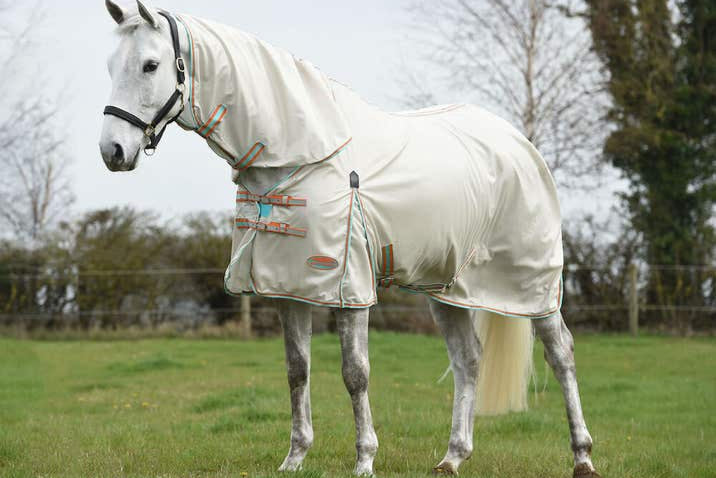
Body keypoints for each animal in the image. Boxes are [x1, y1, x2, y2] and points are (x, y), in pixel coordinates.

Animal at [98, 2, 600, 477]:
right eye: (110, 65)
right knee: (468, 360)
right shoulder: (288, 288)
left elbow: (354, 373)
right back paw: (452, 458)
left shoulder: (348, 287)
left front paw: (364, 460)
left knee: (561, 354)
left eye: (150, 65)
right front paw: (295, 458)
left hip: (533, 284)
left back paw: (582, 458)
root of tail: (519, 143)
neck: (305, 151)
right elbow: (296, 371)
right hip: (448, 288)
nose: (112, 152)